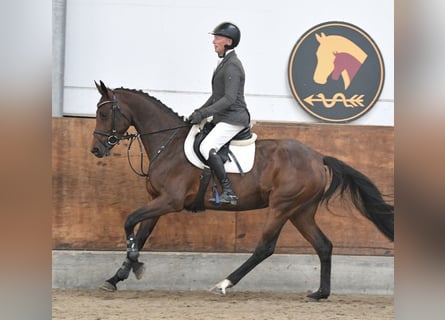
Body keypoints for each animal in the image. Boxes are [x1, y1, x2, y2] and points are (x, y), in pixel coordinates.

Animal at [89, 80, 392, 300]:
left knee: (265, 248)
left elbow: (129, 222)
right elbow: (139, 235)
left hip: (282, 206)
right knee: (324, 245)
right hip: (301, 211)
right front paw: (116, 277)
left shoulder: (169, 201)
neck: (168, 143)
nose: (96, 150)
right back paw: (320, 294)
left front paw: (134, 266)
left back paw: (224, 283)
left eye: (103, 113)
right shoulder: (157, 201)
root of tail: (318, 157)